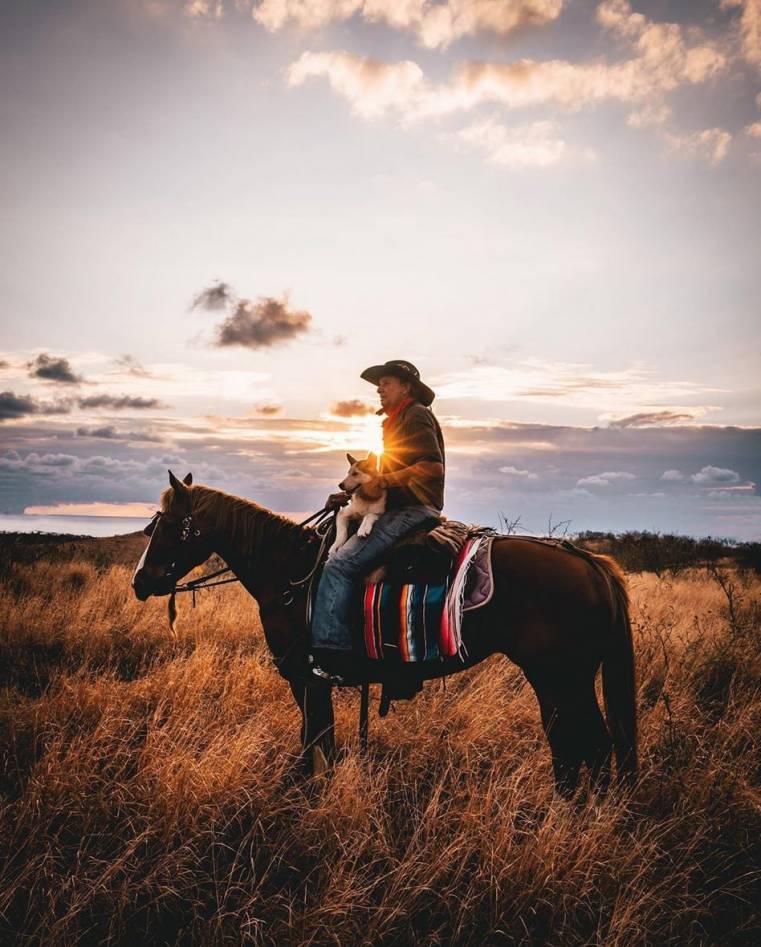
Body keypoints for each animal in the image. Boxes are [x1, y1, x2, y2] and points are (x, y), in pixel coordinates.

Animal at [132, 472, 636, 792]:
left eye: (171, 525)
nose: (140, 581)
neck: (291, 574)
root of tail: (588, 561)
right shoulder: (312, 685)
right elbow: (319, 748)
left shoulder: (308, 681)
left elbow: (316, 748)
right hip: (561, 681)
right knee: (576, 748)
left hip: (560, 678)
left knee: (587, 747)